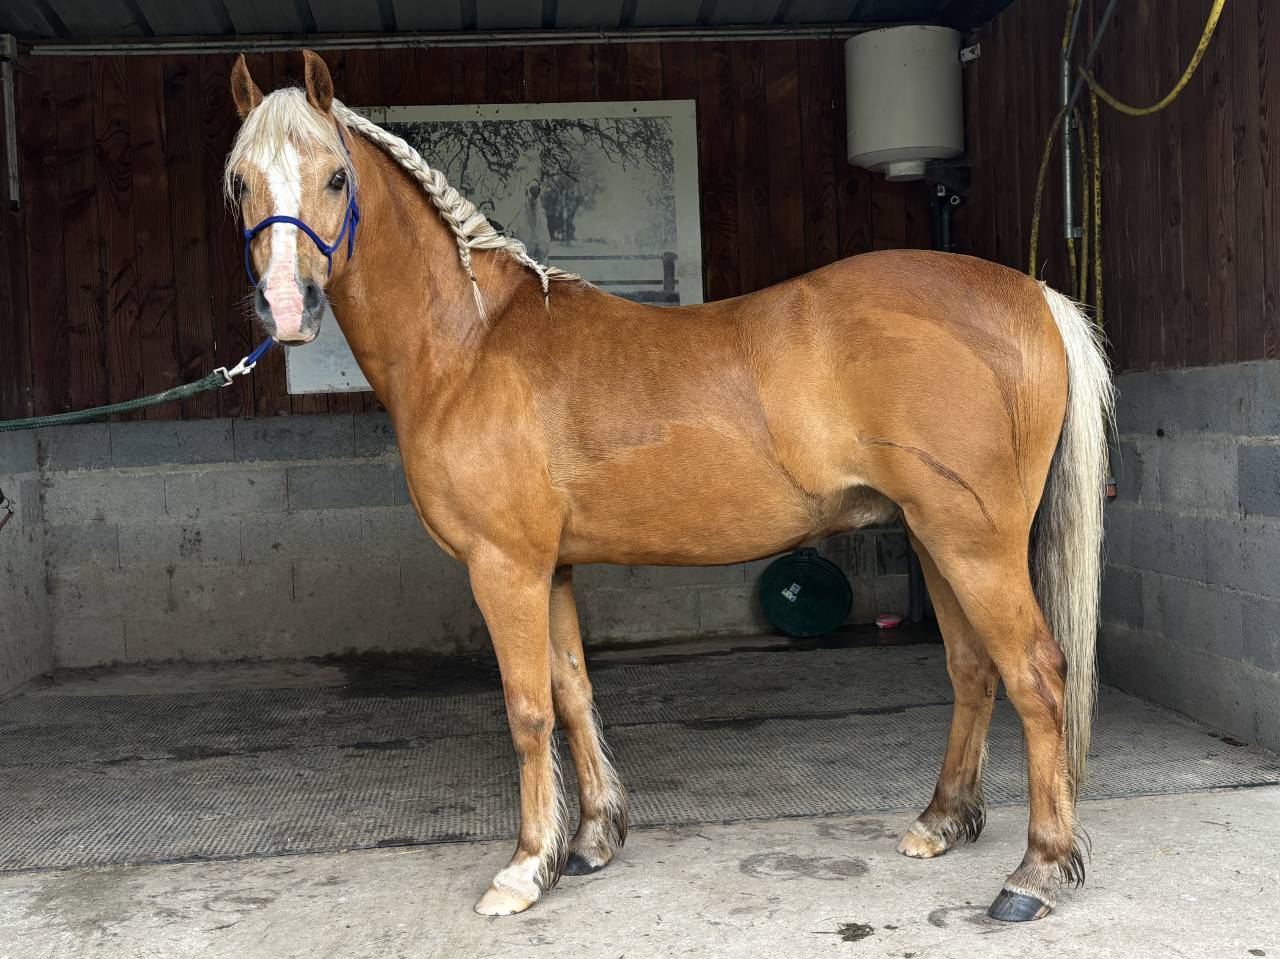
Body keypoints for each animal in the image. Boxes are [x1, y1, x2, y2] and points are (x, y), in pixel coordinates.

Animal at [225, 51, 1114, 922]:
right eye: (239, 182)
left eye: (336, 177)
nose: (287, 306)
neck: (472, 344)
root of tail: (1033, 294)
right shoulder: (552, 568)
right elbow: (573, 691)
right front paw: (589, 840)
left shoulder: (505, 567)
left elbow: (527, 710)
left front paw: (524, 867)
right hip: (934, 539)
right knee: (973, 668)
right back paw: (942, 820)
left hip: (975, 544)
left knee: (1039, 676)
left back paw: (1034, 873)